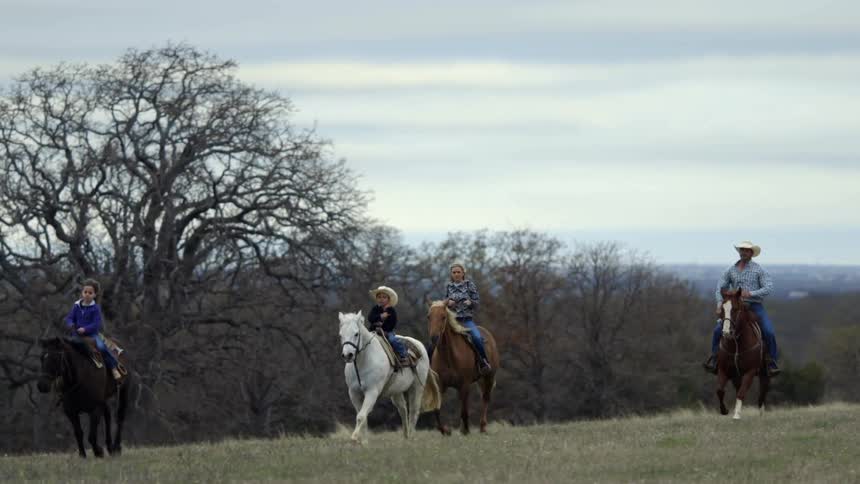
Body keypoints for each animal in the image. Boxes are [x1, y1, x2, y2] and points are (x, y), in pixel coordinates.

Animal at [338, 311, 441, 443]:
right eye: (341, 335)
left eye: (356, 334)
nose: (348, 355)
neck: (364, 361)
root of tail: (419, 346)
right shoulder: (354, 393)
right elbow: (363, 416)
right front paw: (364, 442)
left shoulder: (372, 392)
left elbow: (361, 416)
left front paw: (354, 437)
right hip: (396, 391)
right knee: (403, 410)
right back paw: (405, 437)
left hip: (417, 387)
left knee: (414, 411)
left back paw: (411, 437)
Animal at [427, 301, 499, 435]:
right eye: (428, 316)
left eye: (443, 317)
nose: (434, 338)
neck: (448, 356)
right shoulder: (440, 385)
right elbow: (436, 409)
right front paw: (446, 430)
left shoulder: (464, 384)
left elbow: (464, 411)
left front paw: (466, 430)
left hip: (489, 377)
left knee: (485, 399)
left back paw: (482, 427)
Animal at [715, 288, 770, 419]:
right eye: (722, 309)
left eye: (735, 309)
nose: (726, 332)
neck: (737, 344)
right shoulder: (723, 369)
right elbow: (720, 390)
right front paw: (724, 410)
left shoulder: (750, 371)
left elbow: (741, 392)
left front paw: (736, 415)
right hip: (736, 375)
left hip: (763, 371)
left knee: (763, 389)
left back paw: (761, 412)